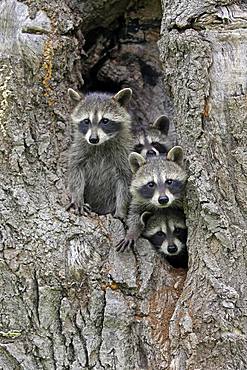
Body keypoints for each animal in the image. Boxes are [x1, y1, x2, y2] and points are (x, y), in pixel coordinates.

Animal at [66, 88, 133, 218]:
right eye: (86, 121)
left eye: (105, 121)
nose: (93, 139)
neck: (100, 145)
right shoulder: (79, 150)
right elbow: (76, 172)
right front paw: (78, 198)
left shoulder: (123, 154)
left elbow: (125, 181)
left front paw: (121, 209)